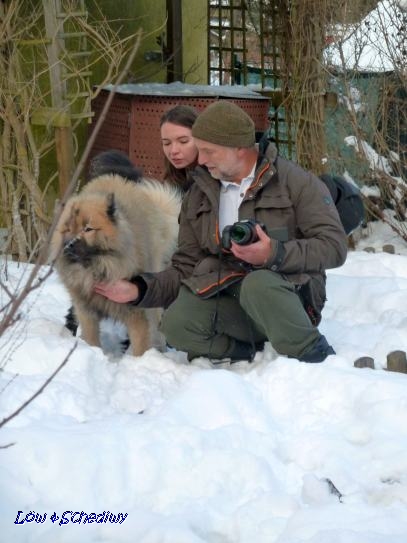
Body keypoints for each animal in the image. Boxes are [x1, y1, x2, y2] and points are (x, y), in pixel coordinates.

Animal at [49, 174, 180, 356]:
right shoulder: (86, 311)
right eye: (67, 229)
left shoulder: (136, 312)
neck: (97, 268)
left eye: (88, 229)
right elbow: (91, 339)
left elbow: (140, 345)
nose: (68, 245)